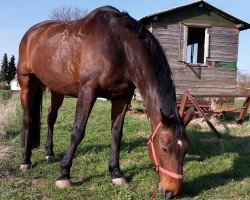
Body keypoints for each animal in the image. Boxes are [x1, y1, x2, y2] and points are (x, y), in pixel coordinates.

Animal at [17, 5, 189, 198]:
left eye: (186, 149)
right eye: (164, 148)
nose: (172, 192)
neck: (119, 46)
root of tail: (31, 33)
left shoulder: (122, 98)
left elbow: (116, 134)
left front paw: (116, 172)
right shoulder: (88, 91)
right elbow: (78, 131)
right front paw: (64, 174)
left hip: (56, 89)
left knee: (50, 117)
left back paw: (50, 153)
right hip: (26, 81)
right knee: (28, 119)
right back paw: (25, 160)